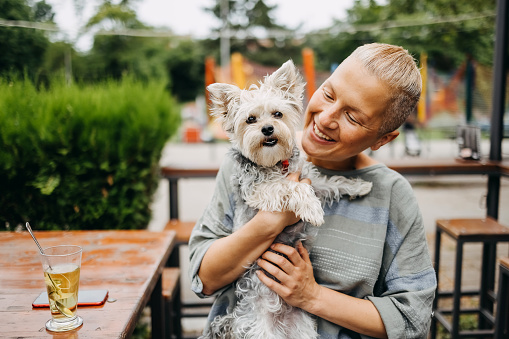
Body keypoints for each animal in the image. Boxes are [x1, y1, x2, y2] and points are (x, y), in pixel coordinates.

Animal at [200, 59, 372, 338]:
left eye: (277, 114)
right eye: (250, 119)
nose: (267, 128)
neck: (274, 162)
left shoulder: (308, 177)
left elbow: (329, 183)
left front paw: (359, 186)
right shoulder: (259, 191)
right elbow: (290, 187)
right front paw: (312, 209)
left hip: (304, 330)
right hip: (260, 330)